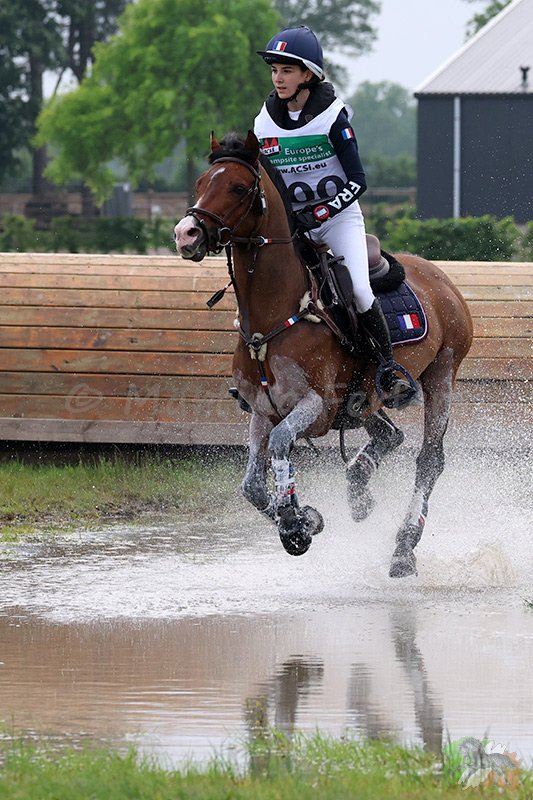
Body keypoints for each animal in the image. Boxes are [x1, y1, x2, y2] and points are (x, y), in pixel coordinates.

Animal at [172, 133, 472, 580]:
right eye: (201, 183)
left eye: (239, 188)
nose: (186, 234)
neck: (272, 318)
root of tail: (442, 279)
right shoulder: (263, 408)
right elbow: (252, 486)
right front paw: (303, 518)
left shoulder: (317, 405)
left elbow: (281, 444)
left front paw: (295, 523)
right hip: (364, 400)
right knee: (389, 434)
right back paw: (359, 491)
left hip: (441, 375)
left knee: (429, 460)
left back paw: (404, 547)